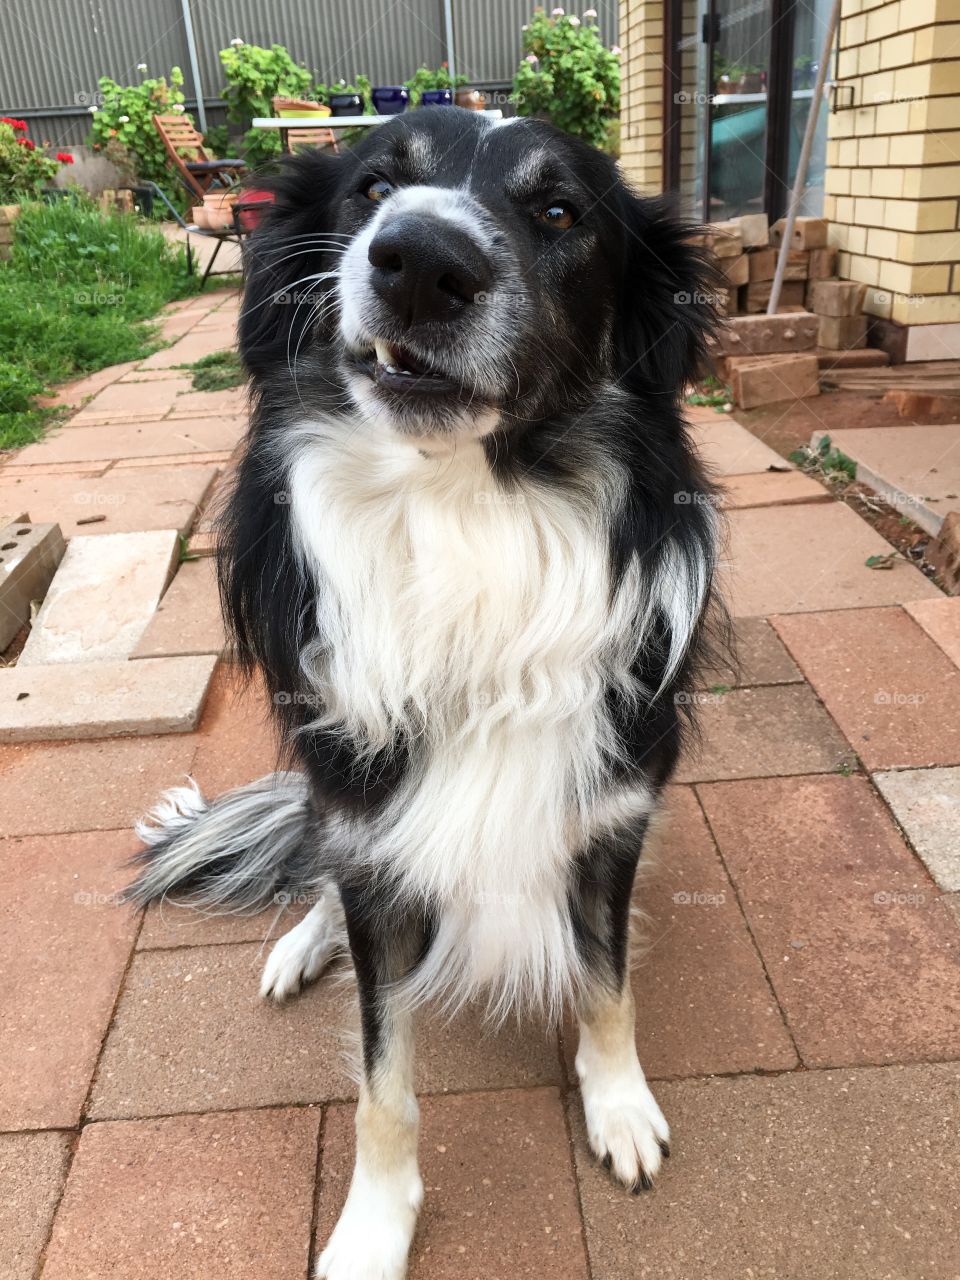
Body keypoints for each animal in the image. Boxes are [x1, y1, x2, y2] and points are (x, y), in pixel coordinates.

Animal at [131, 107, 727, 1280]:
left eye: (560, 211)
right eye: (372, 188)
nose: (420, 263)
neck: (465, 515)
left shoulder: (611, 816)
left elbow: (608, 982)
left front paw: (619, 1105)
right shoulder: (371, 834)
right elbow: (382, 1077)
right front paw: (373, 1228)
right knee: (318, 877)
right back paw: (299, 945)